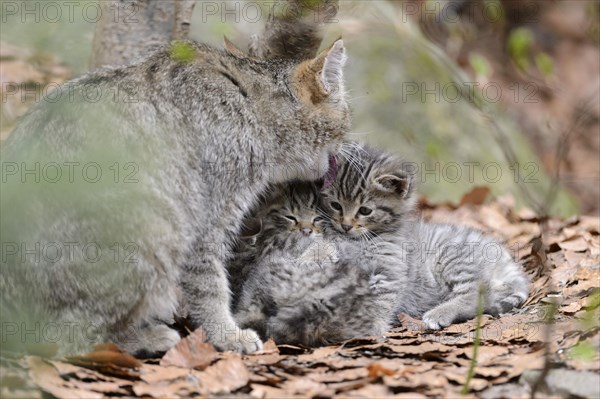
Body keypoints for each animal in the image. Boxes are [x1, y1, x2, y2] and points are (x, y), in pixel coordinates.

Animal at [2, 39, 352, 354]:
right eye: (346, 117)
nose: (347, 147)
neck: (254, 106)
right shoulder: (209, 219)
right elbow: (210, 285)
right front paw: (226, 335)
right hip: (157, 226)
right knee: (63, 340)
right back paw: (143, 339)